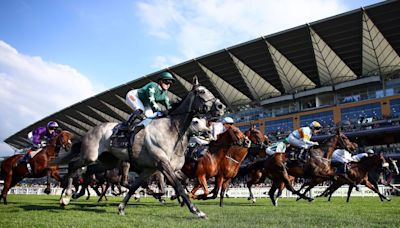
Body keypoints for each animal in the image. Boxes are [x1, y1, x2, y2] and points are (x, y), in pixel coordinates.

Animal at [58, 77, 225, 219]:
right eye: (202, 91)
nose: (220, 106)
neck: (170, 131)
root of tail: (89, 131)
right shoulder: (163, 165)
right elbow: (178, 187)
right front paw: (197, 211)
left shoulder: (151, 168)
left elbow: (134, 187)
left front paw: (121, 207)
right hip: (90, 155)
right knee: (73, 164)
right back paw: (66, 196)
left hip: (108, 161)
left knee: (90, 170)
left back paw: (74, 195)